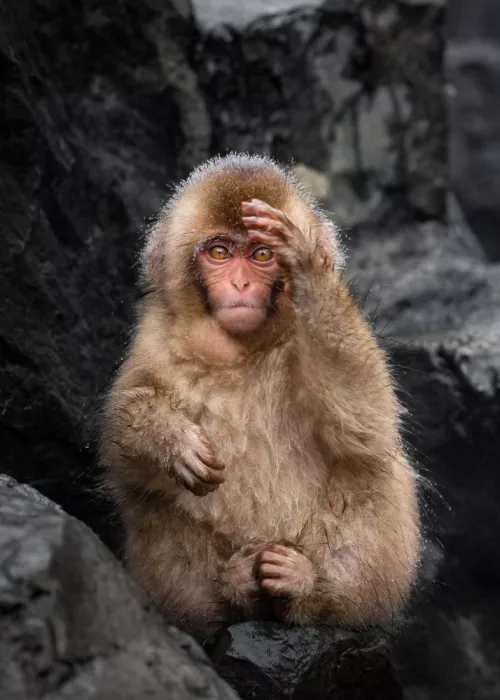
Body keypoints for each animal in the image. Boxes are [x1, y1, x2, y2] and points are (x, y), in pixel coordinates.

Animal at [100, 153, 421, 640]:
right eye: (220, 253)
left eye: (262, 255)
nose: (240, 286)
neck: (243, 352)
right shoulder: (154, 338)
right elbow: (123, 446)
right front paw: (172, 441)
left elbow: (367, 423)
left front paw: (305, 263)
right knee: (152, 498)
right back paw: (235, 591)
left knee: (368, 467)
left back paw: (303, 589)